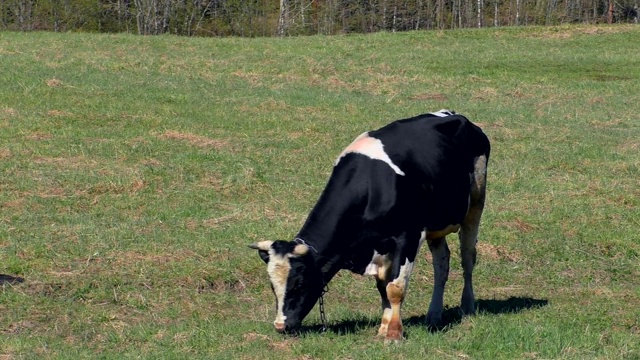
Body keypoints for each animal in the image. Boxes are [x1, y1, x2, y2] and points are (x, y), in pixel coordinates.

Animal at [250, 110, 490, 340]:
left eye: (299, 283)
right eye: (272, 285)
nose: (281, 326)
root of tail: (459, 117)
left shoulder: (409, 236)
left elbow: (395, 288)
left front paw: (394, 334)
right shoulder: (381, 246)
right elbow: (383, 288)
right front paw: (383, 328)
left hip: (476, 202)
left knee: (468, 257)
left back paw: (468, 306)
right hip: (438, 225)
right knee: (442, 264)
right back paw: (434, 315)